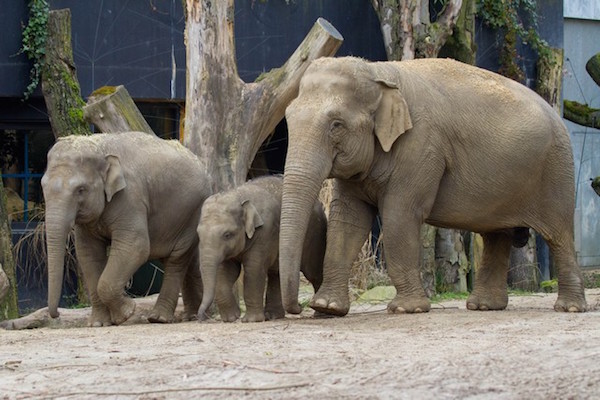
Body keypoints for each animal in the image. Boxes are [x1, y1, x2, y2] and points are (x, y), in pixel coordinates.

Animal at [42, 133, 212, 326]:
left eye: (81, 190)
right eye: (42, 187)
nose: (56, 314)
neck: (100, 148)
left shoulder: (130, 197)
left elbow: (135, 246)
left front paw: (126, 313)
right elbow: (87, 253)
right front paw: (98, 324)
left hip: (192, 214)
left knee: (176, 260)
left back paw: (159, 318)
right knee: (189, 260)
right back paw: (192, 316)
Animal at [198, 175, 326, 322]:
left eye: (227, 234)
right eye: (198, 234)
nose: (201, 317)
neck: (238, 195)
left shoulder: (265, 231)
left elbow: (254, 269)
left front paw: (250, 320)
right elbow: (225, 271)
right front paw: (231, 318)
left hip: (316, 233)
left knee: (314, 273)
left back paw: (320, 313)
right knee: (276, 274)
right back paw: (273, 316)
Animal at [278, 56, 588, 318]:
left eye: (337, 125)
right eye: (289, 119)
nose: (298, 308)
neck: (379, 72)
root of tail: (556, 111)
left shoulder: (421, 146)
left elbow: (399, 216)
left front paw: (406, 309)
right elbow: (347, 222)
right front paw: (327, 307)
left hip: (556, 169)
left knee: (558, 236)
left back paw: (569, 308)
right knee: (496, 236)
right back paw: (483, 306)